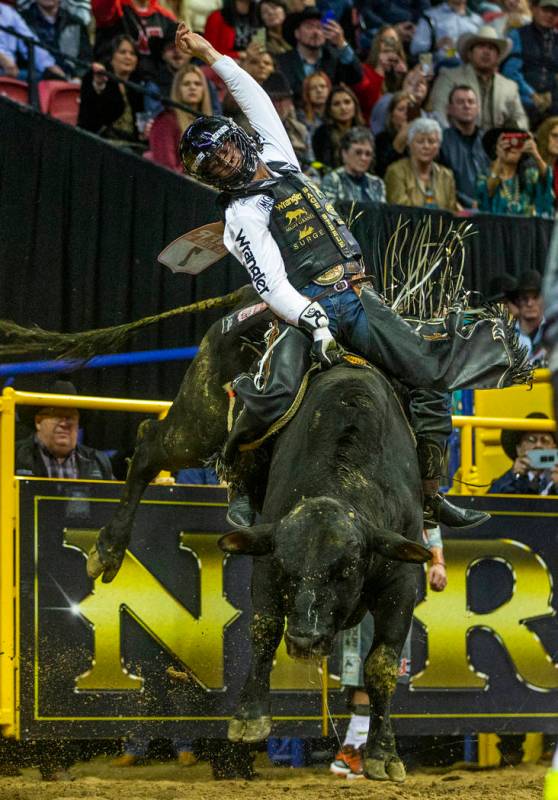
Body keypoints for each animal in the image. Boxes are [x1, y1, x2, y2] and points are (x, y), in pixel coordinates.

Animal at [87, 290, 430, 780]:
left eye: (347, 571)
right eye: (290, 568)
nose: (305, 641)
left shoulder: (400, 579)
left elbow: (381, 665)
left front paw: (384, 755)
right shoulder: (268, 558)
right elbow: (264, 630)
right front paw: (250, 719)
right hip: (201, 418)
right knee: (151, 444)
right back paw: (108, 550)